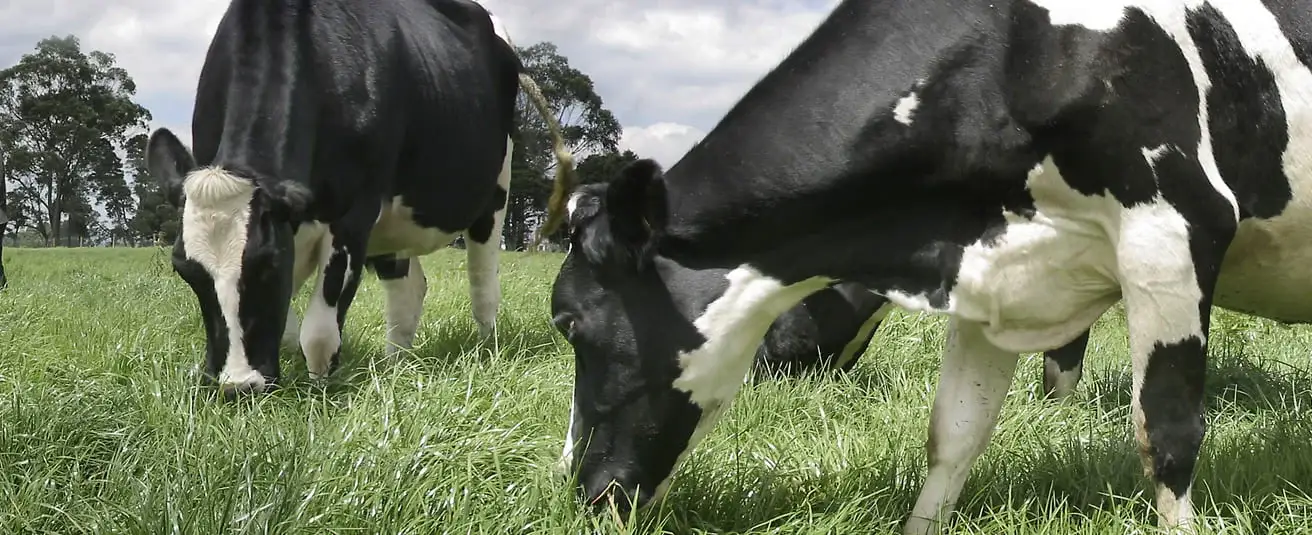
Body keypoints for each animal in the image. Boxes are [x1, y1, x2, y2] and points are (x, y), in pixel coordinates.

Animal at [145, 0, 574, 396]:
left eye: (269, 263)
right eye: (184, 270)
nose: (238, 385)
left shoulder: (353, 213)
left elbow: (318, 333)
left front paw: (319, 393)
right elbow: (289, 326)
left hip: (495, 190)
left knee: (483, 284)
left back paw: (487, 350)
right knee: (408, 291)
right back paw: (395, 366)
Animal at [547, 0, 1312, 532]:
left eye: (568, 322)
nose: (577, 493)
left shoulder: (1175, 227)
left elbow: (1168, 432)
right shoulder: (992, 271)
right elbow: (953, 433)